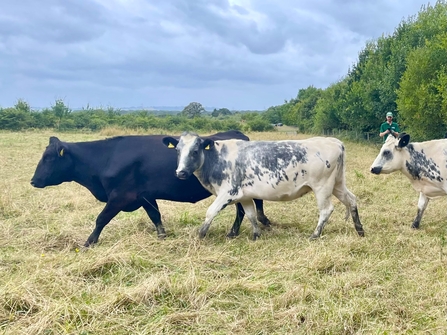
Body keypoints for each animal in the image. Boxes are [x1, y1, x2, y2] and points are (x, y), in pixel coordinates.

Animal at [31, 131, 272, 247]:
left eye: (49, 157)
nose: (33, 181)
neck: (107, 157)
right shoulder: (145, 196)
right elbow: (155, 216)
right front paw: (162, 235)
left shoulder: (119, 196)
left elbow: (101, 219)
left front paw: (89, 242)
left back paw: (239, 230)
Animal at [163, 133, 366, 240]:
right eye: (178, 150)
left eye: (195, 150)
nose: (180, 173)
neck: (217, 159)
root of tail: (334, 141)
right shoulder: (244, 195)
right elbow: (251, 214)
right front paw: (255, 235)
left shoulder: (228, 192)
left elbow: (210, 212)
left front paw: (201, 234)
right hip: (337, 184)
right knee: (352, 200)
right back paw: (360, 230)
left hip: (322, 186)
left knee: (326, 210)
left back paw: (314, 235)